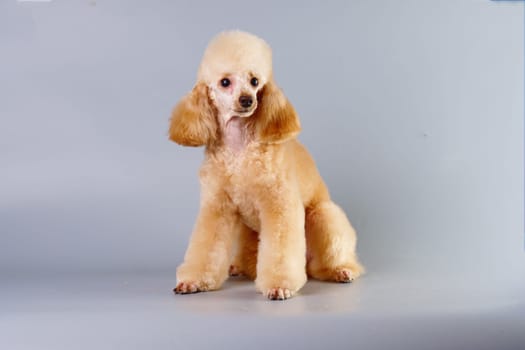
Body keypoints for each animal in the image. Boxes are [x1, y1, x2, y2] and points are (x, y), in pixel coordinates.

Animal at [170, 30, 362, 300]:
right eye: (225, 82)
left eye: (254, 81)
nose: (247, 100)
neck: (240, 147)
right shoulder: (217, 207)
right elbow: (206, 246)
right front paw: (194, 281)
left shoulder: (280, 204)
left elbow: (280, 250)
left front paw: (279, 285)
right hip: (248, 231)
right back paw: (239, 267)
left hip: (321, 217)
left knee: (329, 254)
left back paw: (342, 270)